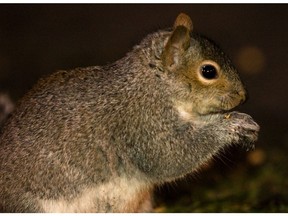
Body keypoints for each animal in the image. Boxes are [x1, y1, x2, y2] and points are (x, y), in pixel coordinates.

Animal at [0, 13, 260, 213]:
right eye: (208, 71)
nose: (243, 96)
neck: (154, 85)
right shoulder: (141, 122)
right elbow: (168, 157)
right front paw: (232, 124)